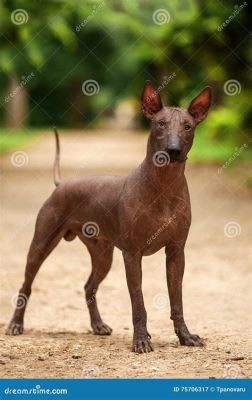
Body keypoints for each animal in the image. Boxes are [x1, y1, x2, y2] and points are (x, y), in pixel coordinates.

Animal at [6, 80, 213, 354]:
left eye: (187, 127)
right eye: (160, 124)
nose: (173, 150)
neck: (164, 186)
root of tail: (61, 184)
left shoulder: (176, 253)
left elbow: (176, 300)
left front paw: (185, 336)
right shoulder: (132, 255)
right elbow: (138, 302)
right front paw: (141, 340)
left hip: (103, 256)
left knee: (89, 287)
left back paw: (98, 325)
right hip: (41, 245)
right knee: (26, 285)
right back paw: (16, 325)